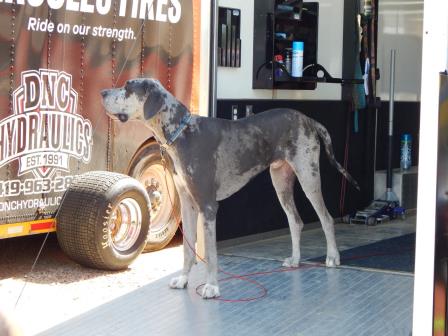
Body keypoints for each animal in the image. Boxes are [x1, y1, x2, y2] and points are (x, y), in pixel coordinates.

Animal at [100, 79, 356, 300]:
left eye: (127, 87)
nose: (102, 92)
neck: (183, 133)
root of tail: (309, 120)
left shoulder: (208, 206)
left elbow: (212, 254)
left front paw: (212, 287)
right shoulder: (188, 203)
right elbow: (188, 249)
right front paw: (183, 280)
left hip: (308, 175)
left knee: (327, 219)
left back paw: (332, 257)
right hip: (280, 181)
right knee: (296, 221)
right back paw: (295, 259)